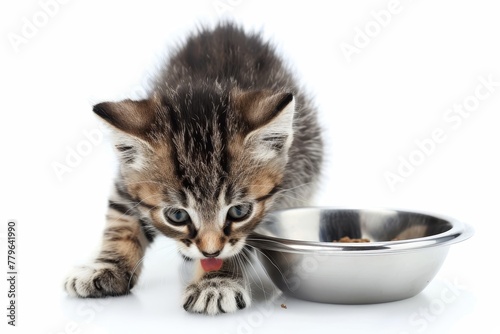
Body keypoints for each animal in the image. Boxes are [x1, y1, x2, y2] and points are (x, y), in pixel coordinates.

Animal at [64, 23, 322, 316]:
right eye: (177, 215)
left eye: (239, 211)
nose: (210, 253)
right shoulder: (125, 180)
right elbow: (120, 222)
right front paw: (105, 267)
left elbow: (238, 246)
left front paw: (216, 283)